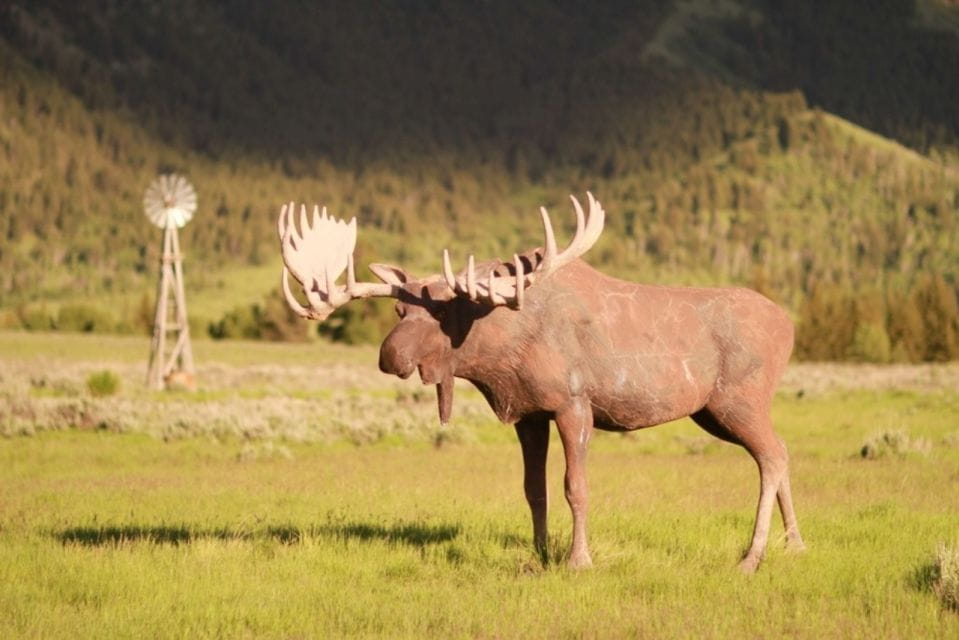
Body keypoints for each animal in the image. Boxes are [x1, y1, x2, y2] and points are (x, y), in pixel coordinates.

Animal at [277, 192, 805, 573]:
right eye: (399, 311)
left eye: (444, 311)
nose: (390, 356)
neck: (500, 355)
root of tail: (790, 325)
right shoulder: (528, 415)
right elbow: (535, 489)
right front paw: (540, 554)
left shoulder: (574, 404)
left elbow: (576, 486)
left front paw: (577, 560)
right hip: (712, 412)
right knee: (778, 452)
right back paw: (794, 544)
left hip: (737, 400)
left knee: (772, 456)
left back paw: (752, 557)